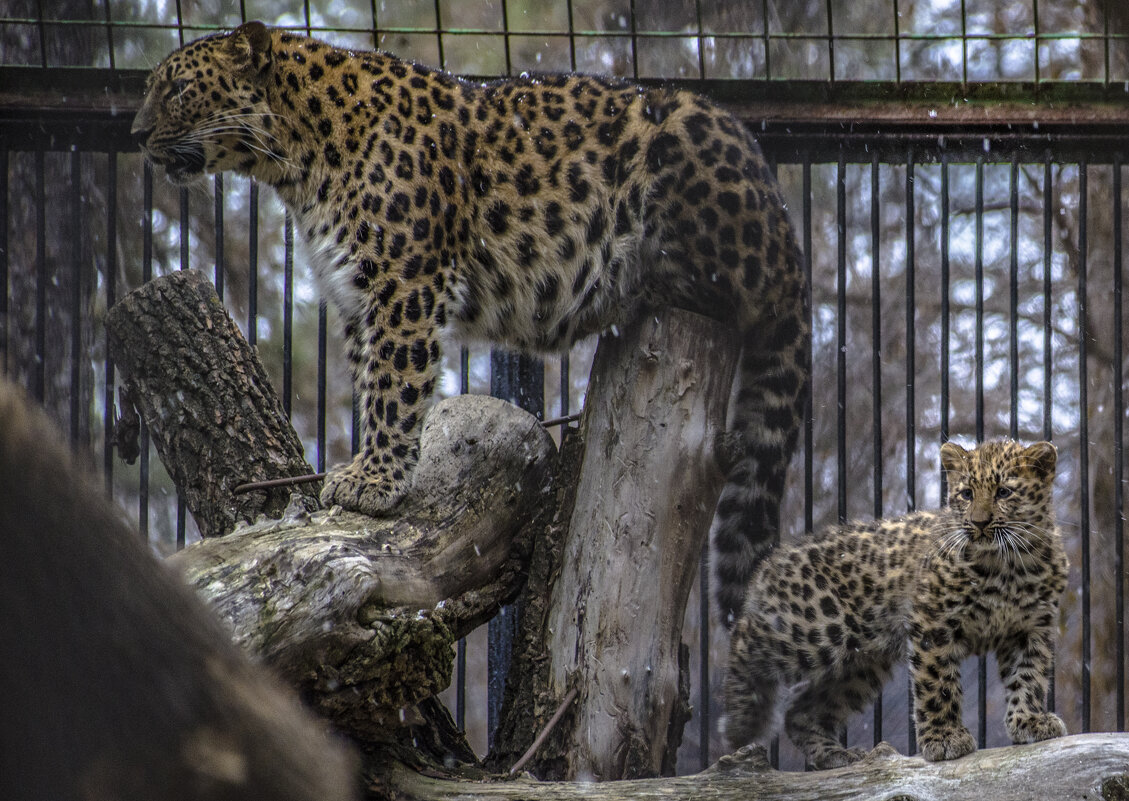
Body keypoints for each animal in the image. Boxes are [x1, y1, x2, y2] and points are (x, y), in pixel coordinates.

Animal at [134, 20, 812, 623]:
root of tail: (787, 231)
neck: (296, 157)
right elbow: (371, 383)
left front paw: (374, 483)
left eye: (177, 88)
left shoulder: (406, 281)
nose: (137, 133)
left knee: (725, 293)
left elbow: (394, 385)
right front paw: (364, 469)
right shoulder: (356, 297)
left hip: (684, 159)